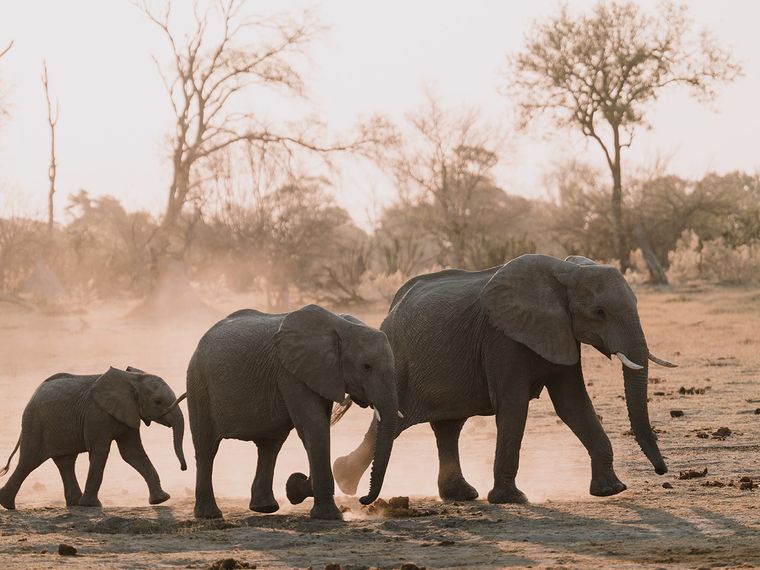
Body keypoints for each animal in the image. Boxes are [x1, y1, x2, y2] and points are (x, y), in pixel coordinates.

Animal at [0, 366, 186, 509]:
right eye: (158, 402)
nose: (183, 468)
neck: (132, 379)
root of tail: (34, 394)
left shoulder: (128, 412)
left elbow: (133, 453)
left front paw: (161, 499)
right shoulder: (97, 414)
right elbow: (101, 451)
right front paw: (92, 505)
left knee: (65, 461)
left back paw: (74, 503)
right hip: (35, 423)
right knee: (29, 461)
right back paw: (7, 504)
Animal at [187, 304, 399, 520]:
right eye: (366, 367)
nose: (363, 499)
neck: (342, 326)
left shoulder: (322, 374)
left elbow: (319, 426)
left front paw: (296, 488)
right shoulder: (290, 373)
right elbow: (314, 426)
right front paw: (328, 515)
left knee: (270, 446)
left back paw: (265, 508)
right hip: (199, 384)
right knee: (206, 448)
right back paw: (210, 514)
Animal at [333, 254, 677, 504]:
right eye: (600, 311)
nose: (661, 470)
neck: (566, 271)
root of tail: (392, 308)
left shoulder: (562, 333)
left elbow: (573, 405)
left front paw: (611, 490)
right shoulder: (502, 338)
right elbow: (513, 406)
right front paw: (512, 500)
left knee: (447, 427)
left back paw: (458, 495)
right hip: (400, 363)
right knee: (394, 425)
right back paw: (345, 481)